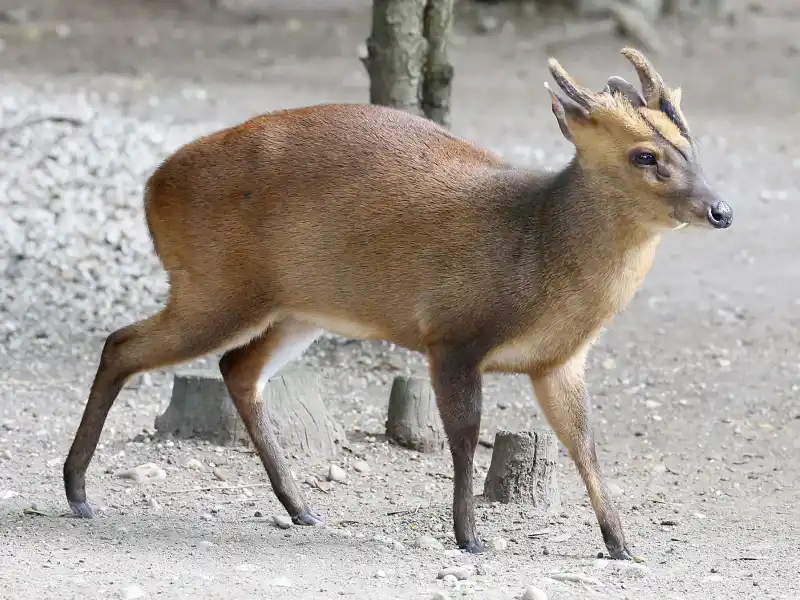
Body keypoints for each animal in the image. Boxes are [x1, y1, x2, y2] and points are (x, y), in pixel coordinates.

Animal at [62, 47, 732, 561]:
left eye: (692, 145)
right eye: (645, 155)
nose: (720, 210)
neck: (536, 251)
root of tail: (152, 185)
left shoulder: (558, 361)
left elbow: (585, 443)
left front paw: (622, 545)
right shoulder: (452, 335)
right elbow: (464, 436)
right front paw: (469, 537)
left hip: (292, 309)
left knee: (236, 369)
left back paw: (302, 508)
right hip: (212, 286)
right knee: (122, 343)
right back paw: (77, 492)